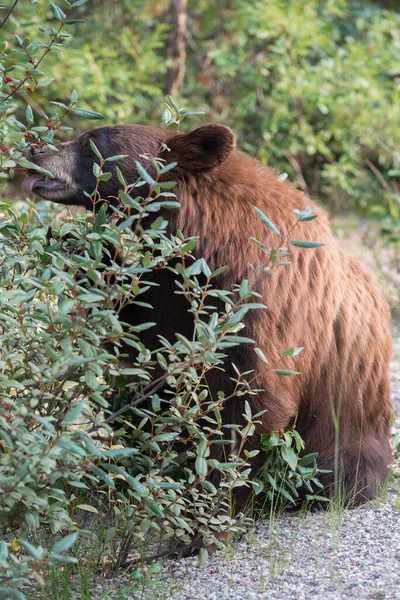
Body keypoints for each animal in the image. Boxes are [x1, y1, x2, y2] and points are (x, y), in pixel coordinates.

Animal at [20, 123, 392, 506]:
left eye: (91, 141)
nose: (34, 149)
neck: (210, 242)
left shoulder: (261, 303)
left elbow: (249, 399)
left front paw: (209, 504)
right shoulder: (173, 287)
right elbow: (144, 335)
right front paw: (79, 247)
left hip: (350, 427)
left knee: (340, 472)